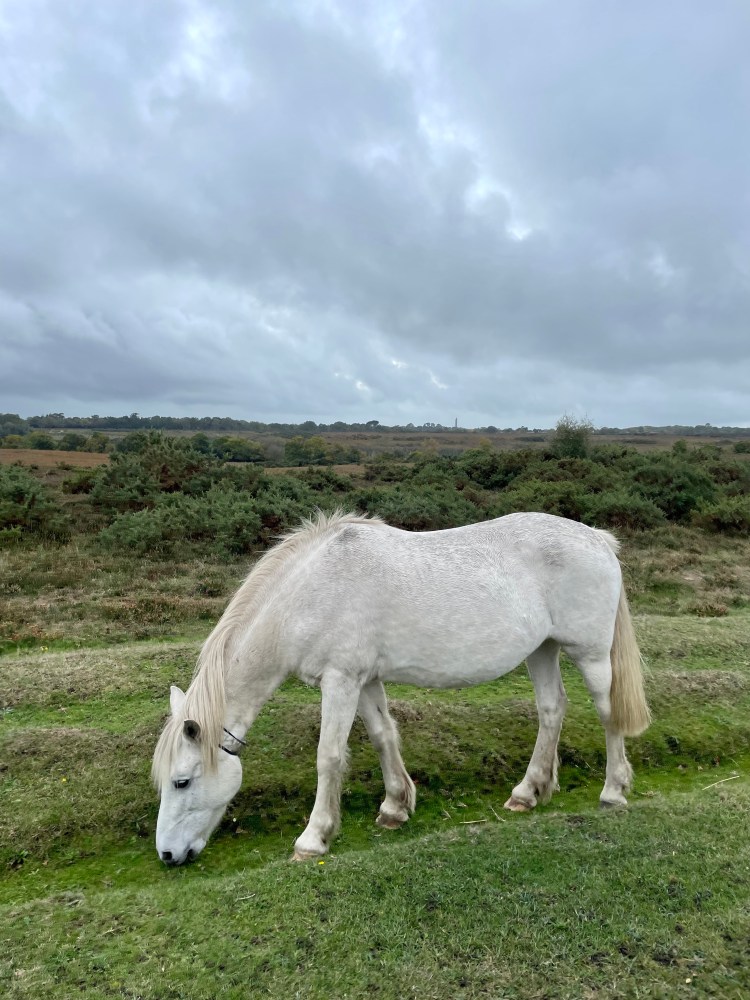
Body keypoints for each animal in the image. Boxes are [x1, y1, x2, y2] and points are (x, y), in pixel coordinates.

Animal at [152, 510, 650, 865]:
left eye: (182, 781)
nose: (167, 855)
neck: (309, 592)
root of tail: (598, 539)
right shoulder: (365, 680)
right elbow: (381, 736)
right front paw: (395, 806)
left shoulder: (340, 680)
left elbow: (328, 756)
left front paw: (314, 838)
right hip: (542, 650)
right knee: (551, 709)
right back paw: (528, 792)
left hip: (590, 654)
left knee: (608, 715)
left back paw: (613, 792)